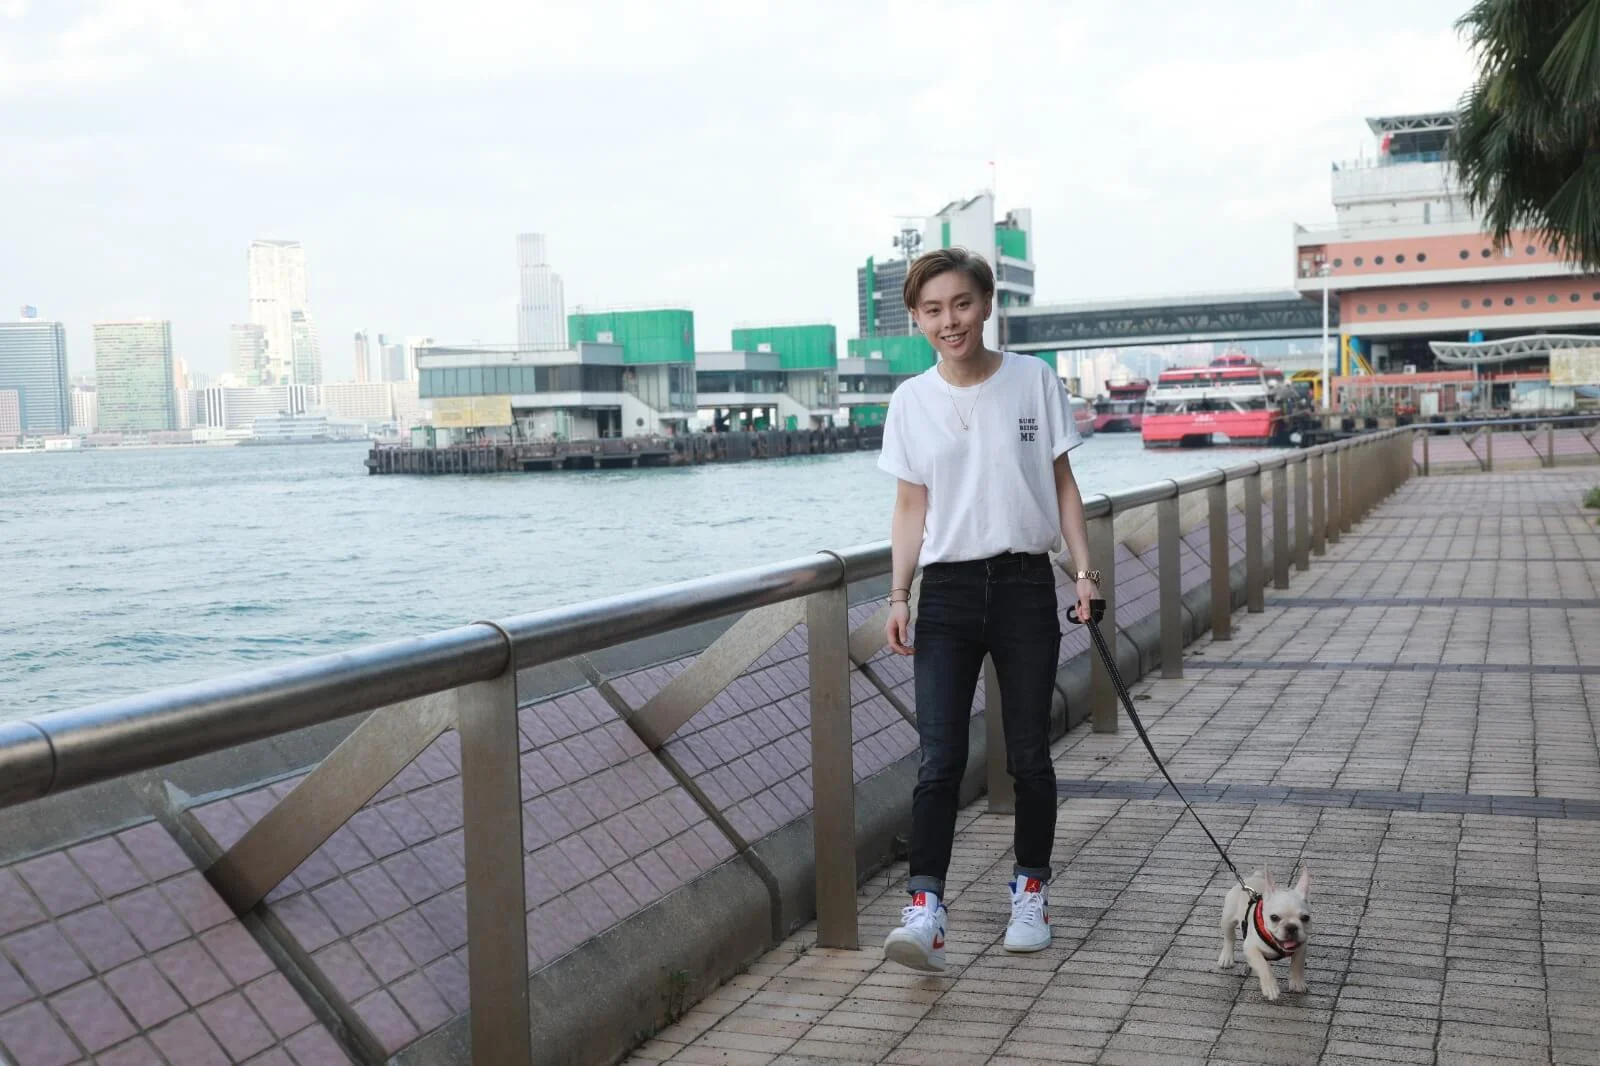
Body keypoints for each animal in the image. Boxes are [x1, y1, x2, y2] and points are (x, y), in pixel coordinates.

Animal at [1216, 867, 1310, 1001]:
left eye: (1305, 918)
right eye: (1274, 917)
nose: (1291, 927)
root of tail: (1252, 878)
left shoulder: (1301, 946)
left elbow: (1298, 964)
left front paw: (1297, 983)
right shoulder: (1250, 948)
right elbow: (1263, 966)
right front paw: (1270, 987)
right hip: (1228, 918)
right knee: (1229, 937)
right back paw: (1226, 958)